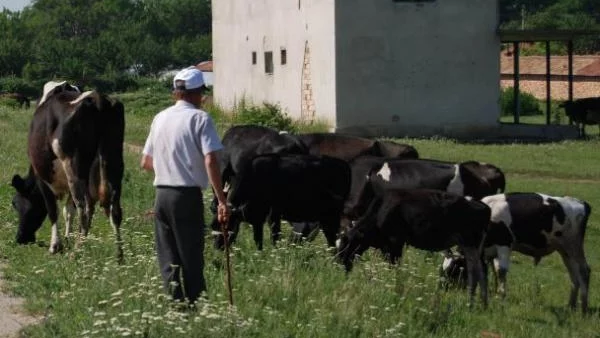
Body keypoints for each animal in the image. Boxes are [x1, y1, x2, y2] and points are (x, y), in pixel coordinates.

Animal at [10, 81, 125, 258]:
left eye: (16, 204)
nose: (20, 238)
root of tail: (97, 99)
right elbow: (68, 211)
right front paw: (67, 237)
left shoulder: (42, 177)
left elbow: (53, 210)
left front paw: (55, 245)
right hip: (114, 162)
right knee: (114, 208)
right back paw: (119, 255)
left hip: (74, 167)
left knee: (84, 208)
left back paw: (78, 250)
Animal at [336, 189, 490, 308]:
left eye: (345, 245)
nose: (338, 266)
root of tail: (483, 206)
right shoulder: (386, 247)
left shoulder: (395, 242)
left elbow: (394, 268)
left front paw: (394, 289)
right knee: (478, 270)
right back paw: (480, 304)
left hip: (469, 244)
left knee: (476, 271)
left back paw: (472, 303)